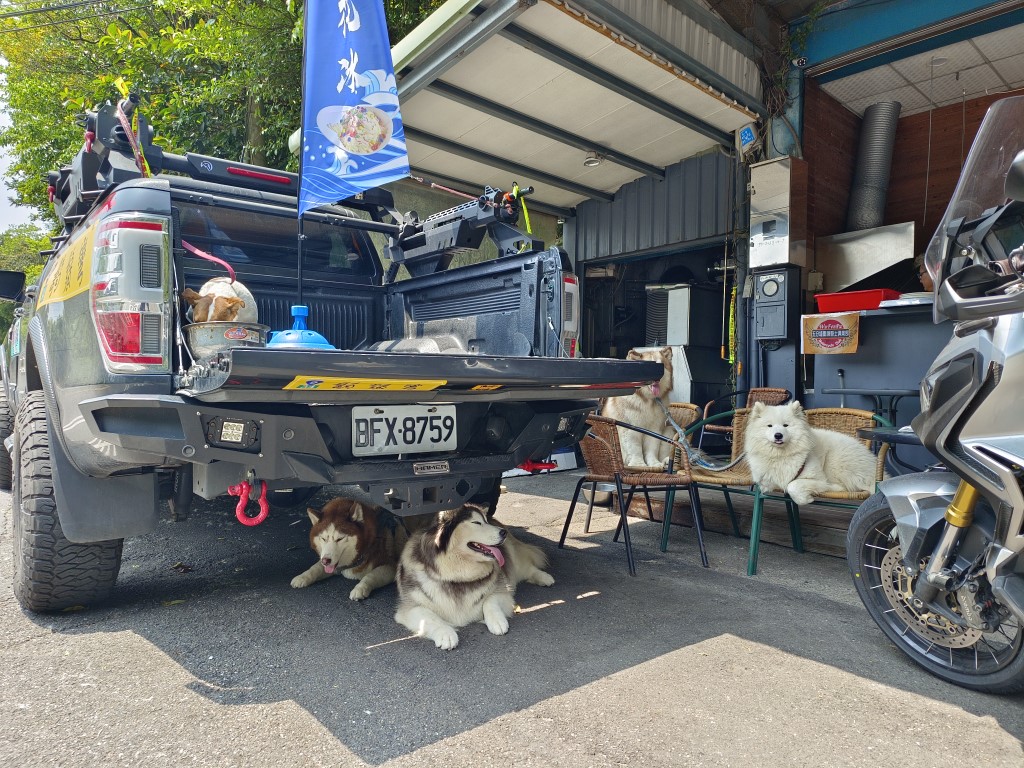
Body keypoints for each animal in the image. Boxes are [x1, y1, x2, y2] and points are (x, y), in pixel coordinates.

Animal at [393, 505, 552, 651]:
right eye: (476, 522)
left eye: (486, 521)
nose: (503, 532)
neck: (457, 576)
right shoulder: (410, 607)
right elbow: (430, 618)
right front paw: (446, 633)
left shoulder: (503, 592)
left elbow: (489, 601)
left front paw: (497, 621)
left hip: (515, 560)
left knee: (528, 568)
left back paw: (545, 578)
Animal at [745, 399, 880, 507]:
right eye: (769, 426)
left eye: (785, 425)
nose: (778, 435)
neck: (781, 455)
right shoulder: (765, 480)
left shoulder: (816, 477)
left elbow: (792, 485)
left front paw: (806, 499)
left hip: (835, 463)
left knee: (844, 486)